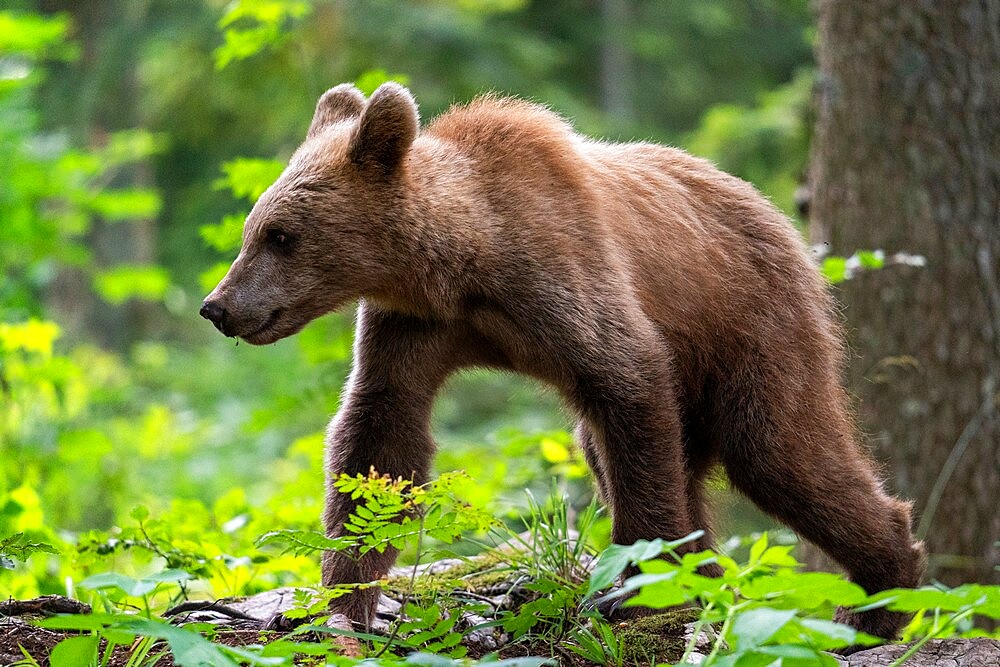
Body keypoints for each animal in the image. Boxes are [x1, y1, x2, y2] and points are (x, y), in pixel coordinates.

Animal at [199, 82, 924, 640]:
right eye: (251, 228)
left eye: (281, 235)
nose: (219, 306)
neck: (464, 261)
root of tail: (779, 216)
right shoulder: (414, 327)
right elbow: (379, 438)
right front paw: (340, 602)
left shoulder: (566, 278)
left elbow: (628, 385)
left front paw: (639, 593)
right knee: (644, 456)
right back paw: (715, 578)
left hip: (752, 324)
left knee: (778, 449)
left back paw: (881, 597)